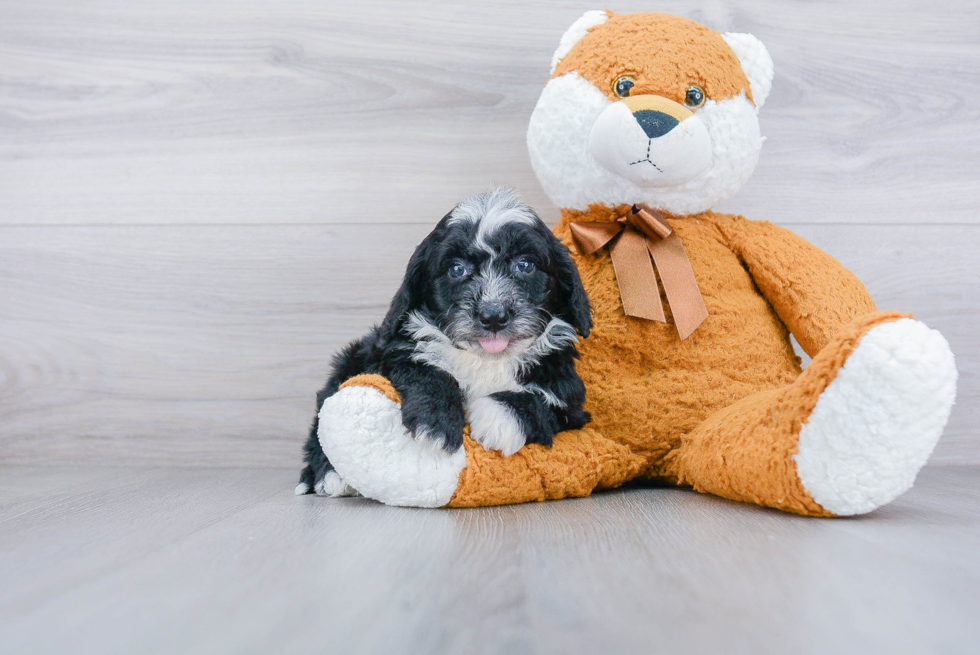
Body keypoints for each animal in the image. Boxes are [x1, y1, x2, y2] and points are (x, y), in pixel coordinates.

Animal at [296, 190, 588, 498]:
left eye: (525, 265)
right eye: (456, 269)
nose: (493, 315)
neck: (484, 360)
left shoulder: (571, 400)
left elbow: (545, 403)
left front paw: (496, 417)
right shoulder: (392, 353)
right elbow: (425, 370)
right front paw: (435, 424)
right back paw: (329, 477)